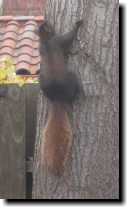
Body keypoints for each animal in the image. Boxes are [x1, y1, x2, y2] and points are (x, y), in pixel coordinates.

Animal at [35, 19, 83, 176]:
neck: (46, 39)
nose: (47, 20)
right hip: (72, 79)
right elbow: (69, 37)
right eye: (47, 24)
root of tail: (57, 97)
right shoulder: (58, 39)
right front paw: (77, 24)